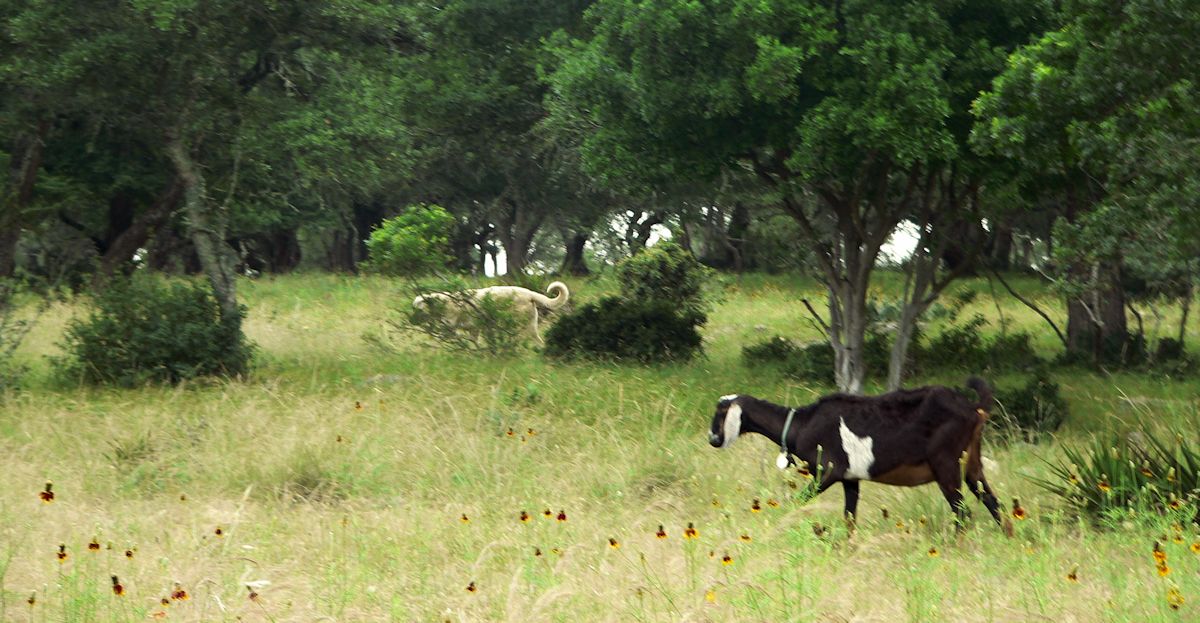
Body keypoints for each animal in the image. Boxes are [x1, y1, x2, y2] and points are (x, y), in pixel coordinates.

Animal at [415, 282, 568, 343]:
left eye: (417, 307)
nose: (412, 319)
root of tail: (529, 293)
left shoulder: (450, 327)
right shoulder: (474, 329)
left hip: (519, 327)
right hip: (531, 328)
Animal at [705, 374, 1008, 530]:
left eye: (720, 413)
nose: (713, 439)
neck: (801, 424)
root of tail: (973, 408)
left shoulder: (827, 470)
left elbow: (798, 501)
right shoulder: (851, 478)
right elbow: (849, 517)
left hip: (945, 463)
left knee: (963, 513)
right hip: (972, 462)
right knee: (994, 504)